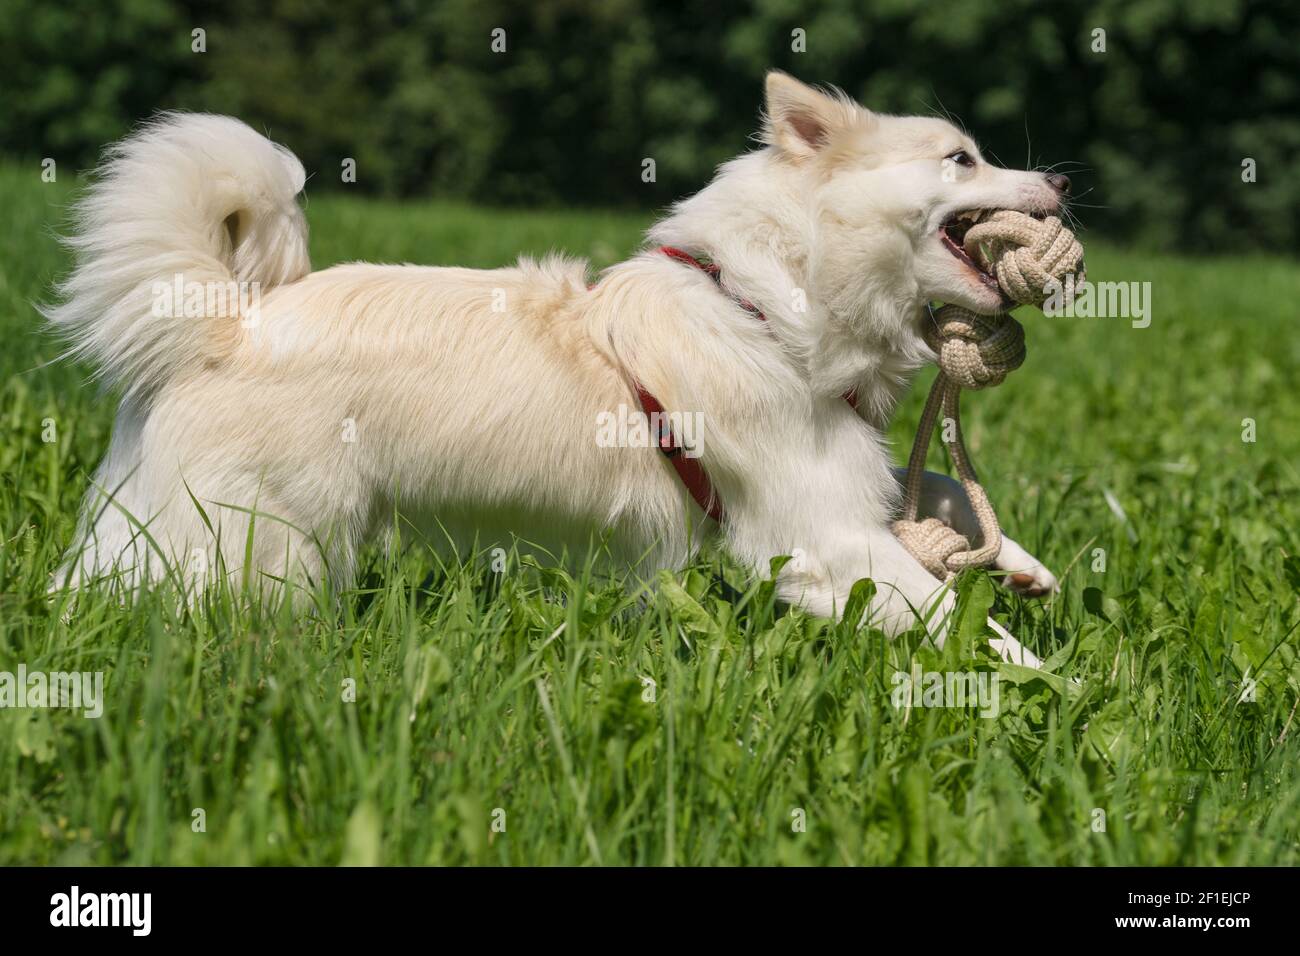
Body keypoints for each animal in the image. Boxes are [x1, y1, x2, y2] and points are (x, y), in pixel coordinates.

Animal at [48, 72, 1066, 665]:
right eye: (962, 157)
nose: (1057, 180)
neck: (770, 305)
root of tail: (227, 322)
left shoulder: (840, 479)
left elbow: (934, 487)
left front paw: (1018, 564)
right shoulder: (816, 529)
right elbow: (942, 610)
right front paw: (1030, 674)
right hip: (259, 552)